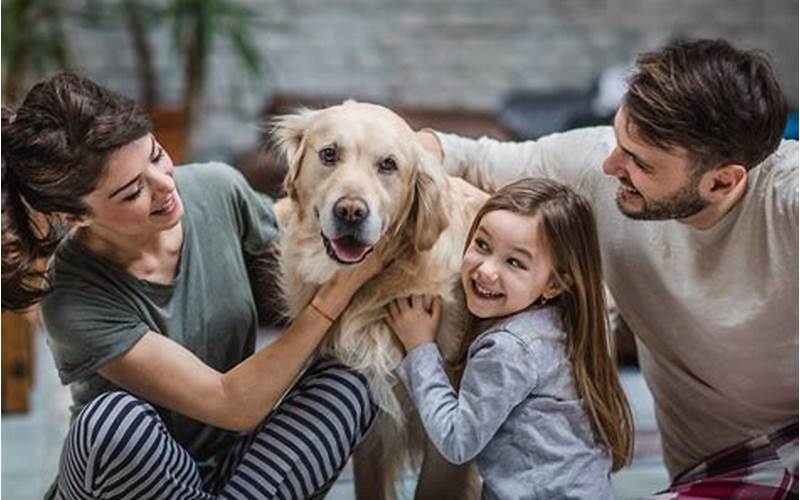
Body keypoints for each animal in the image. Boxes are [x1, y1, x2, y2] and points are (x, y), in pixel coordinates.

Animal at [272, 102, 484, 500]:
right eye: (329, 154)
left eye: (388, 164)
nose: (351, 211)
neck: (382, 287)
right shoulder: (371, 427)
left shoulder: (449, 437)